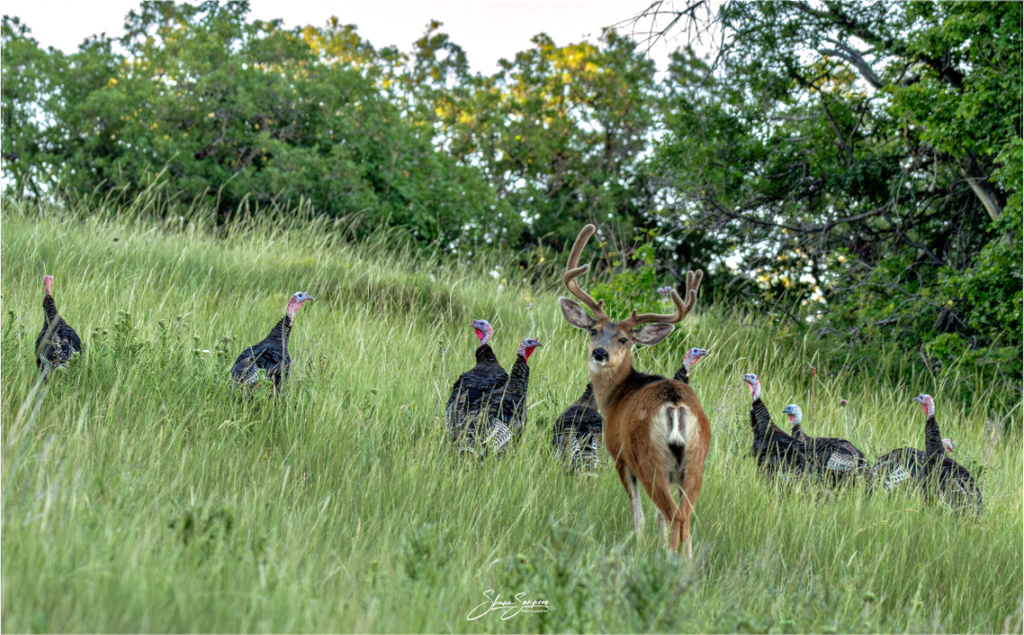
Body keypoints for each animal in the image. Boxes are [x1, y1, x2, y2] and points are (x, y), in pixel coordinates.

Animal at [558, 224, 711, 556]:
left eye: (624, 339)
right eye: (593, 331)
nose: (600, 353)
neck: (616, 396)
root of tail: (675, 406)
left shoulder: (618, 454)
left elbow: (638, 514)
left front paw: (639, 543)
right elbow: (655, 518)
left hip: (648, 458)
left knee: (674, 515)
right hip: (695, 462)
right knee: (685, 518)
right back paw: (687, 563)